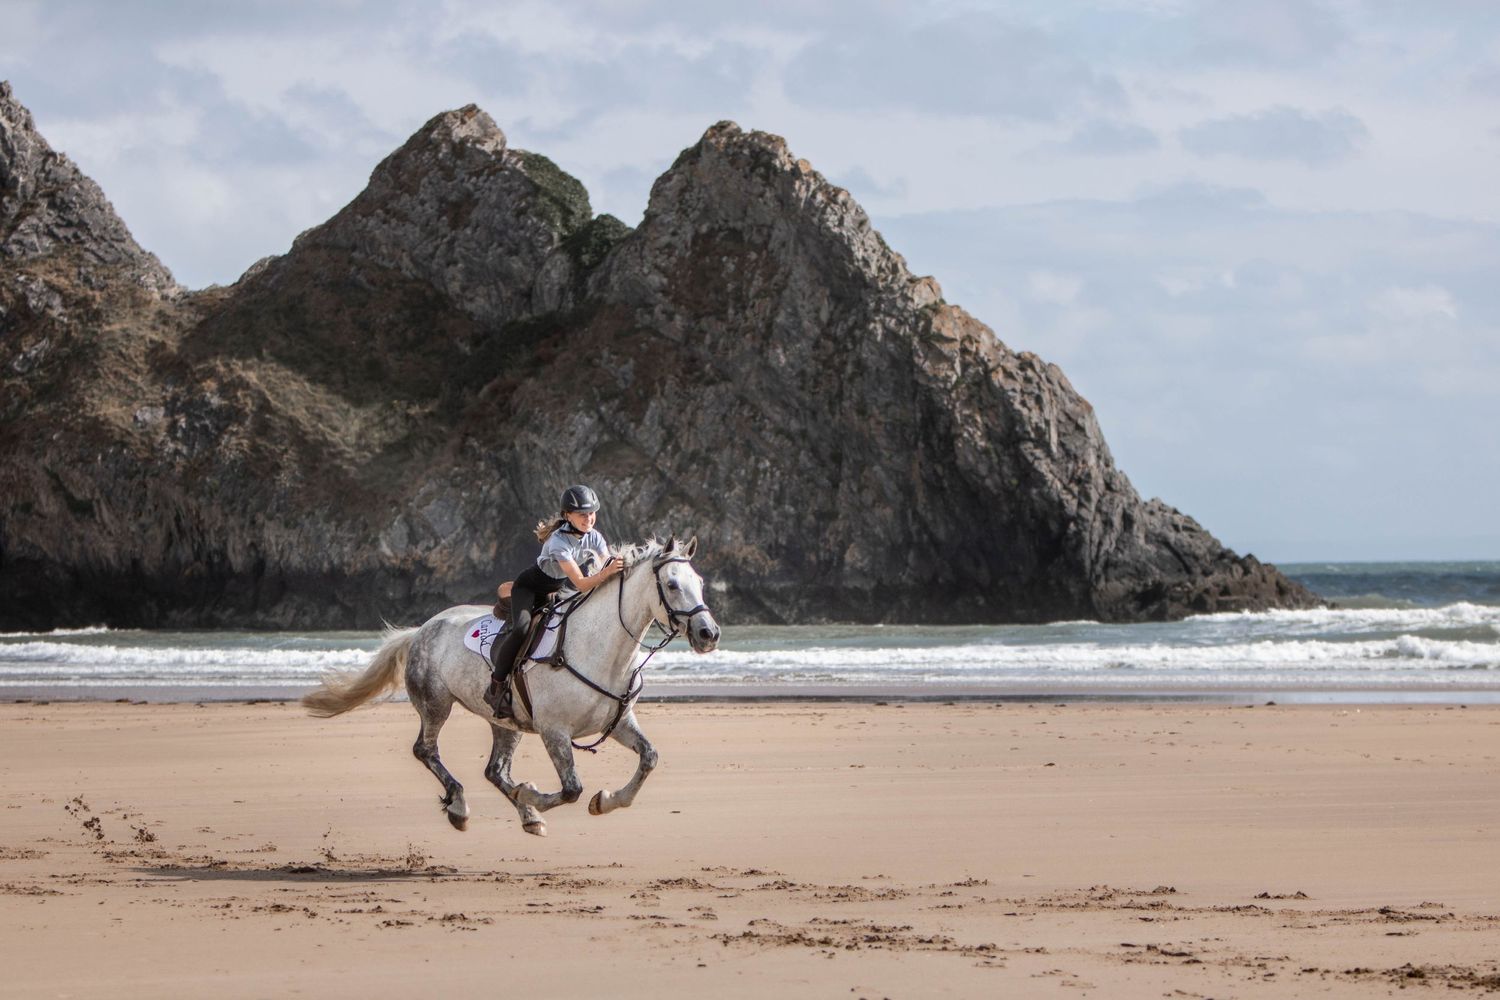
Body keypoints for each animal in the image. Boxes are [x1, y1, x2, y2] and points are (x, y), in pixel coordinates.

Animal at [300, 536, 720, 836]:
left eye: (699, 582)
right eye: (672, 584)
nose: (709, 634)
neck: (599, 648)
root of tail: (421, 629)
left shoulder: (617, 723)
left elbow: (649, 758)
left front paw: (605, 801)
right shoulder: (554, 731)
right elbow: (572, 788)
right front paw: (533, 792)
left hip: (505, 723)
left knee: (495, 771)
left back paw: (528, 816)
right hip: (436, 704)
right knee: (426, 750)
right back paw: (463, 807)